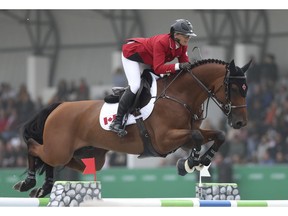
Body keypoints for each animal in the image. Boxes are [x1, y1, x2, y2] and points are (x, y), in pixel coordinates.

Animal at [14, 57, 252, 197]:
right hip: (58, 149)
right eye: (233, 88)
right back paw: (28, 182)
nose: (240, 123)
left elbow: (217, 135)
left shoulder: (183, 137)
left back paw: (44, 187)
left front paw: (198, 161)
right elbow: (196, 137)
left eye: (246, 88)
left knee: (62, 162)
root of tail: (59, 106)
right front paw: (190, 163)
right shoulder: (164, 139)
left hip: (90, 156)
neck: (180, 96)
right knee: (34, 147)